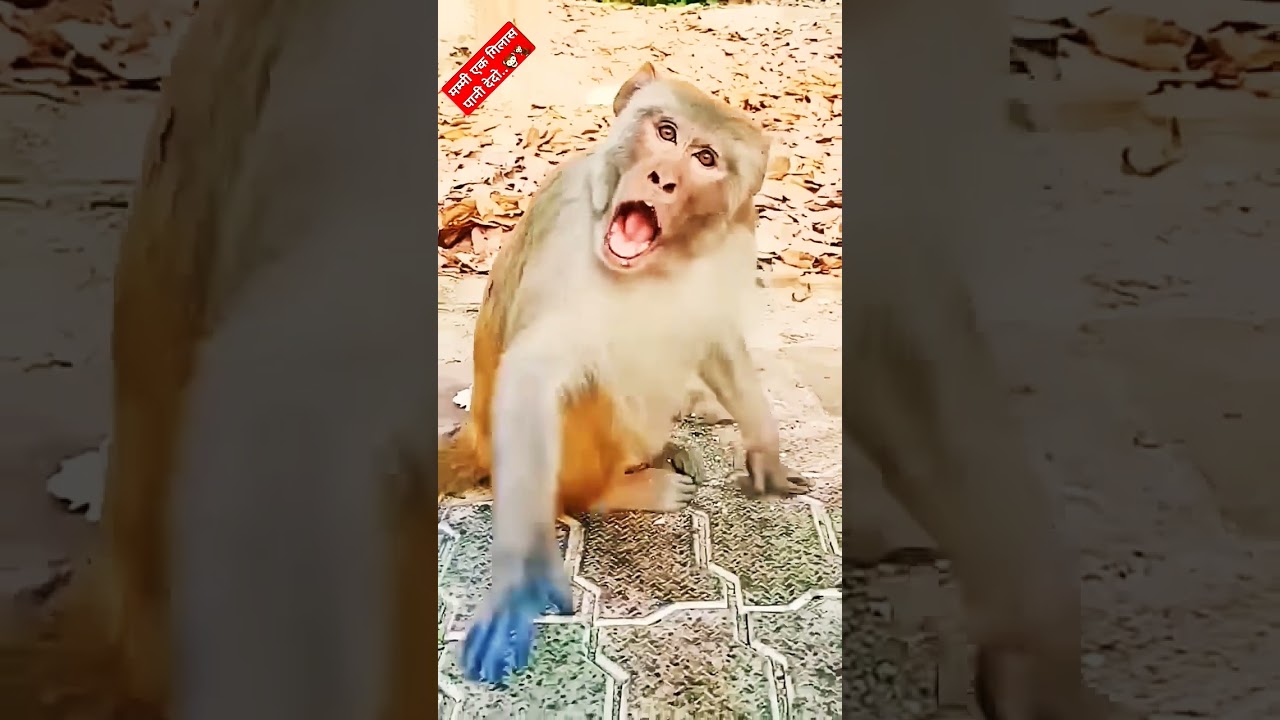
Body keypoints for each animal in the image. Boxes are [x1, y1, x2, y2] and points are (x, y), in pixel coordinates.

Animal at [437, 61, 811, 685]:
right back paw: (618, 489)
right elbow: (533, 377)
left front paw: (765, 446)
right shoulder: (566, 244)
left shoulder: (732, 246)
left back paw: (662, 453)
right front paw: (520, 578)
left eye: (704, 158)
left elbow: (712, 332)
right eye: (665, 132)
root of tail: (477, 439)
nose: (661, 178)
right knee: (582, 387)